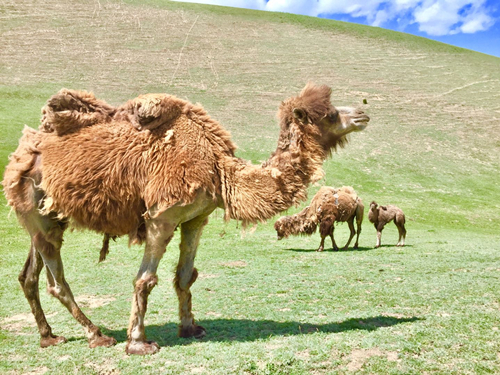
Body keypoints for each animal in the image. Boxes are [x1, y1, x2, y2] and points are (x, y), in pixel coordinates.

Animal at [1, 83, 370, 356]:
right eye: (331, 114)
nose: (363, 112)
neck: (220, 171)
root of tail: (19, 155)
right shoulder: (161, 216)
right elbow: (145, 280)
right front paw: (138, 343)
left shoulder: (196, 218)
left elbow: (184, 276)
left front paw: (191, 328)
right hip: (37, 215)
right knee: (56, 282)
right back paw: (97, 334)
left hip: (46, 218)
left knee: (29, 276)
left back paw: (49, 336)